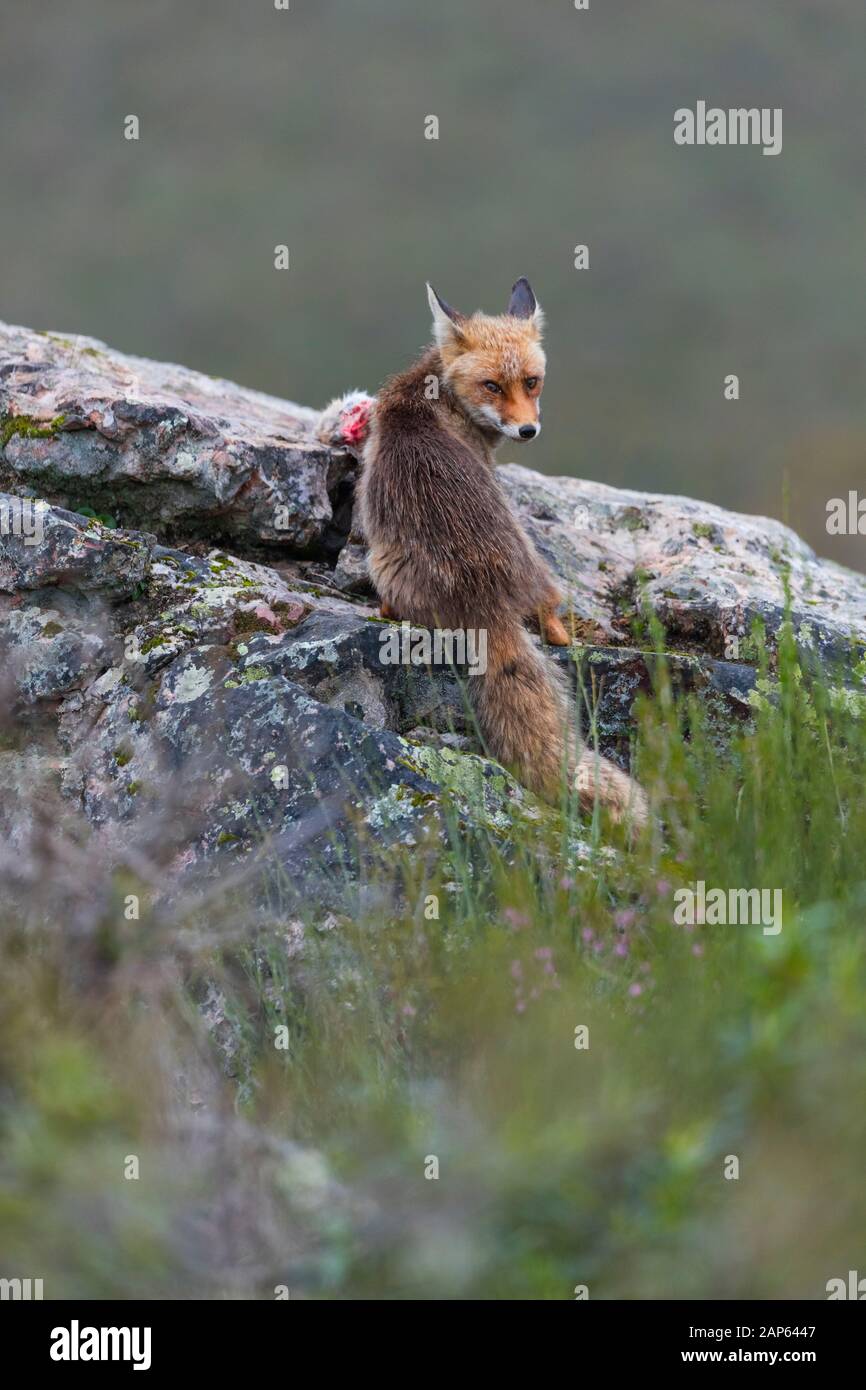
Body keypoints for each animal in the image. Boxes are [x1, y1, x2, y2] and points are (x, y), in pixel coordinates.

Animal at [322, 276, 647, 828]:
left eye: (532, 382)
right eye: (492, 386)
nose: (527, 430)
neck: (432, 392)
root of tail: (481, 595)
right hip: (514, 558)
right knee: (550, 615)